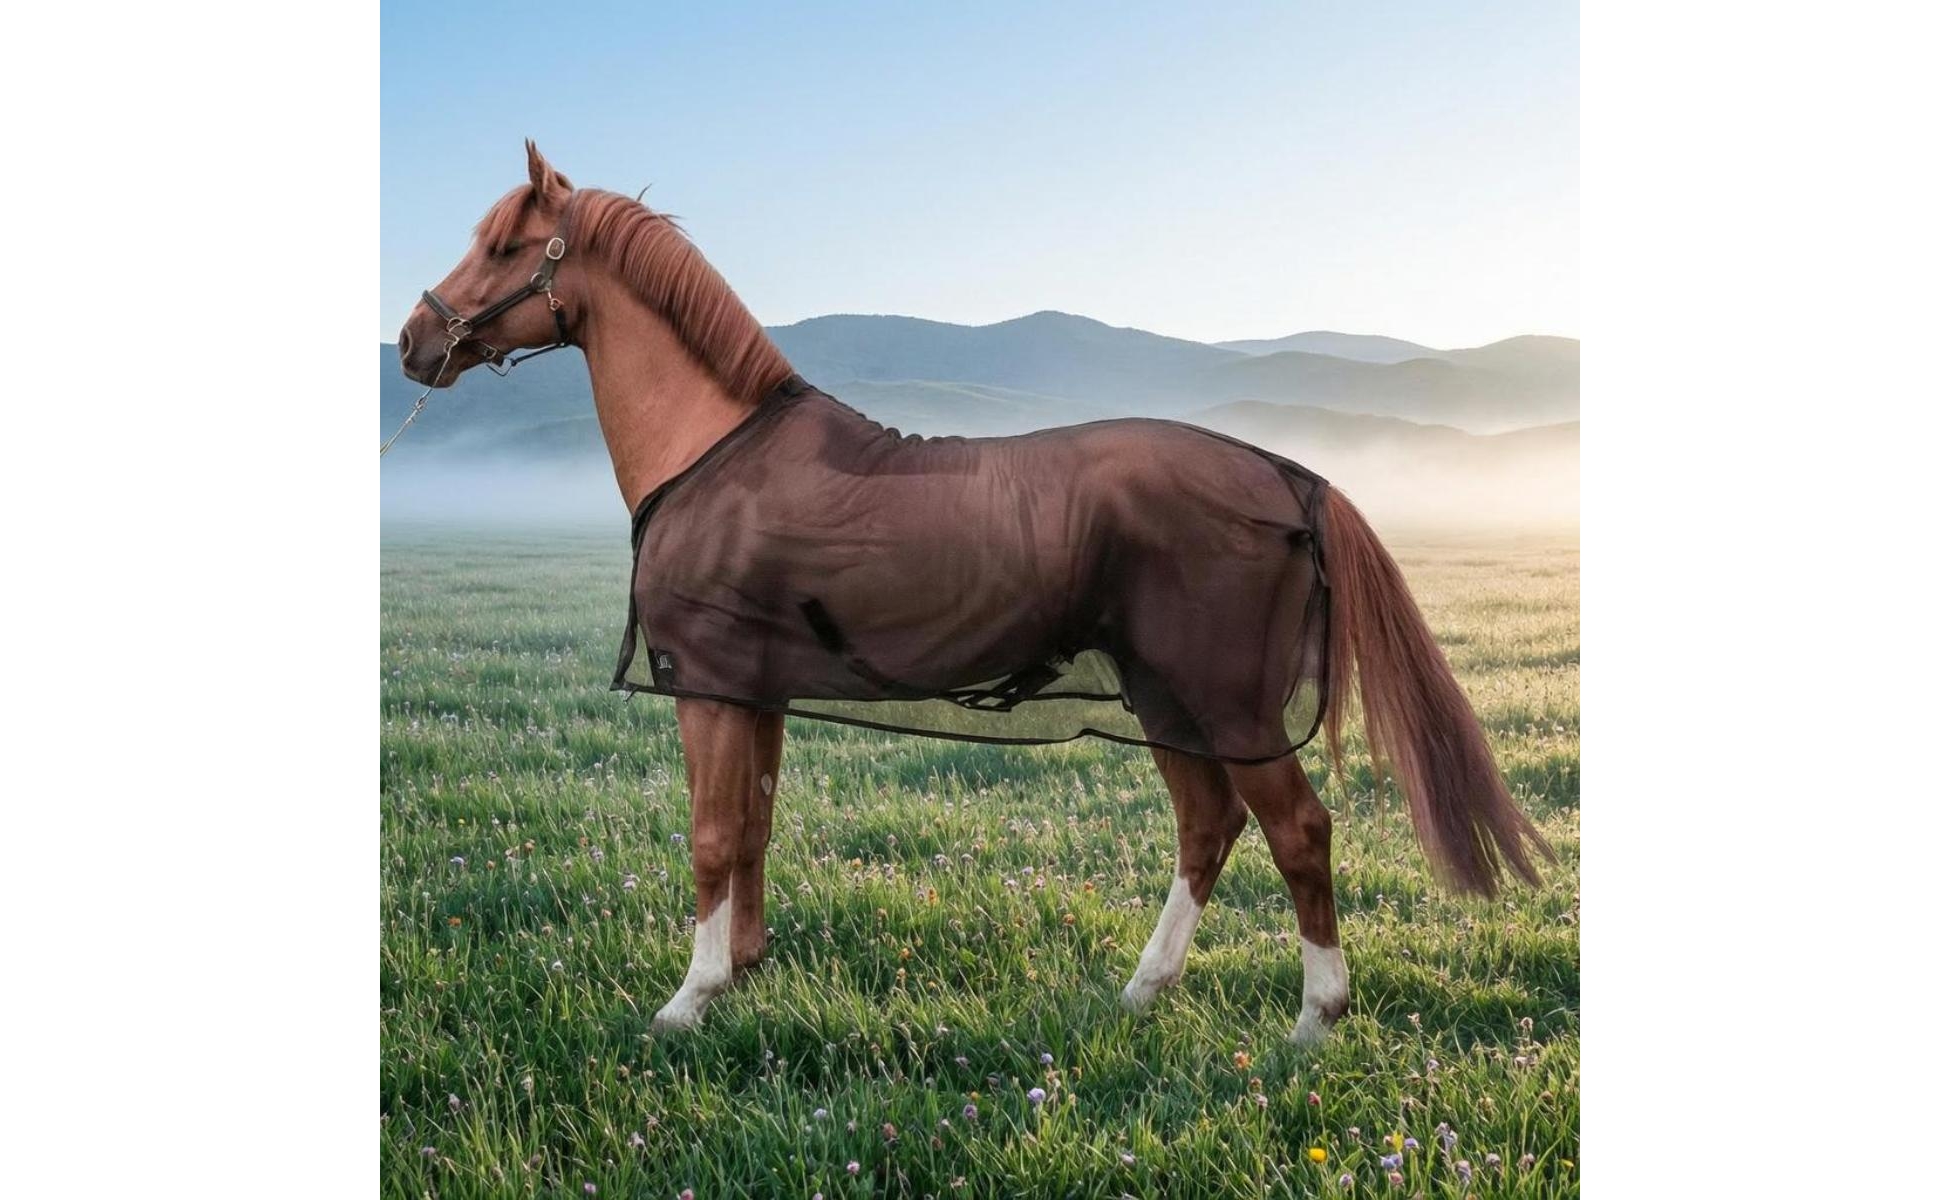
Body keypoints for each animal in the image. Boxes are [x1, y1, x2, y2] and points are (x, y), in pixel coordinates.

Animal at [394, 142, 1552, 1041]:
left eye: (505, 247)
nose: (412, 341)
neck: (715, 454)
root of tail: (1282, 473)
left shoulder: (708, 687)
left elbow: (713, 836)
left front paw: (689, 998)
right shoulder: (753, 690)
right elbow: (754, 826)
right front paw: (743, 971)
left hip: (1224, 703)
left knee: (1297, 832)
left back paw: (1315, 1016)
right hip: (1165, 699)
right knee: (1206, 827)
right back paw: (1144, 989)